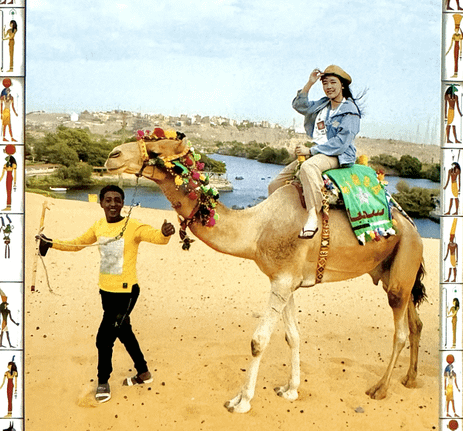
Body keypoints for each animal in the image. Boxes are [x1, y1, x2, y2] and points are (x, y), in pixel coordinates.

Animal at [105, 136, 428, 416]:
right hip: (391, 269)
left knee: (400, 330)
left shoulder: (282, 281)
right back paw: (410, 379)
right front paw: (291, 389)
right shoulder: (285, 281)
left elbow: (258, 341)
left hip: (404, 260)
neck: (256, 229)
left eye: (157, 151)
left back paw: (380, 389)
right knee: (415, 321)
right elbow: (292, 336)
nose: (112, 156)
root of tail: (411, 224)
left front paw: (241, 401)